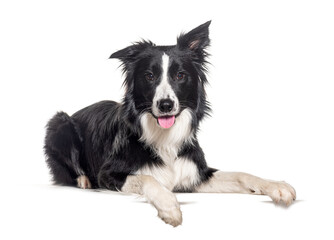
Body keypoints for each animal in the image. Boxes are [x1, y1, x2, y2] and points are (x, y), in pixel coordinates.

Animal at [43, 21, 294, 227]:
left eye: (180, 75)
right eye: (149, 76)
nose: (165, 104)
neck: (165, 138)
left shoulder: (195, 174)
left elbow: (241, 174)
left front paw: (277, 186)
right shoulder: (109, 174)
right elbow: (148, 178)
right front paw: (170, 206)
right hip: (59, 123)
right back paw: (83, 179)